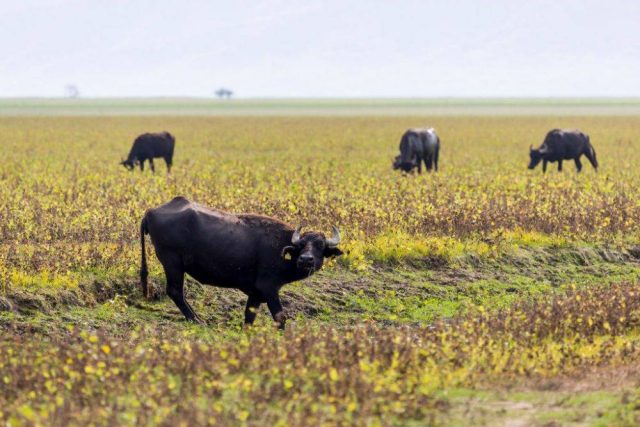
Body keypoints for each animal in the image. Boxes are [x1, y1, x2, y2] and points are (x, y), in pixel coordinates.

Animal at [140, 197, 343, 329]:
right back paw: (196, 319)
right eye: (301, 245)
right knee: (175, 291)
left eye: (320, 245)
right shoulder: (269, 287)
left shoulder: (256, 293)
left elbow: (249, 317)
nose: (306, 259)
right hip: (172, 263)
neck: (282, 249)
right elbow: (280, 317)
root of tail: (150, 212)